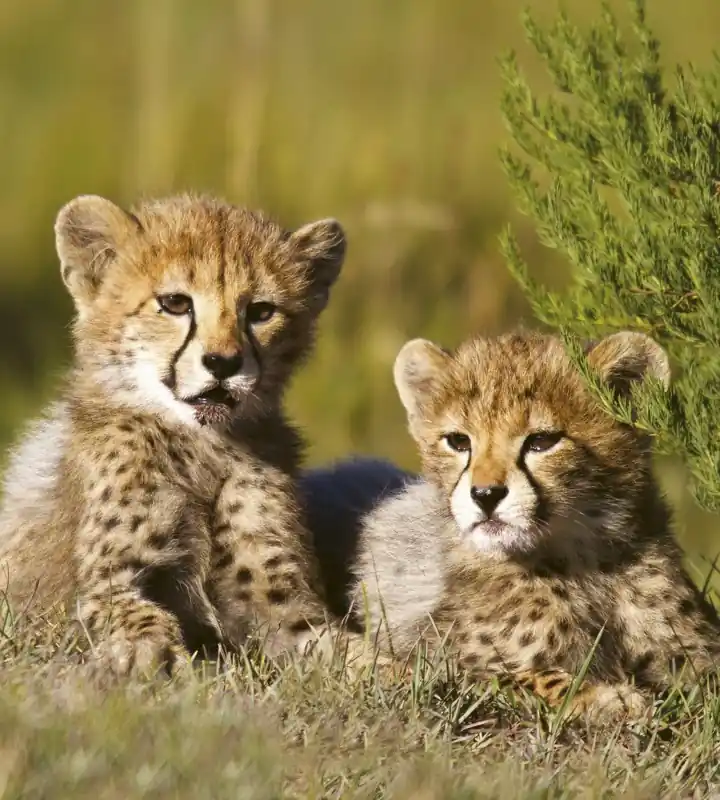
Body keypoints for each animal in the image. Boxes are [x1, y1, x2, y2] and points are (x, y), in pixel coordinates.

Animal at [0, 192, 350, 676]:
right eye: (175, 304)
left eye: (261, 312)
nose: (223, 363)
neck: (201, 444)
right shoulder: (105, 584)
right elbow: (138, 615)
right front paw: (151, 657)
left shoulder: (281, 602)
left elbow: (349, 650)